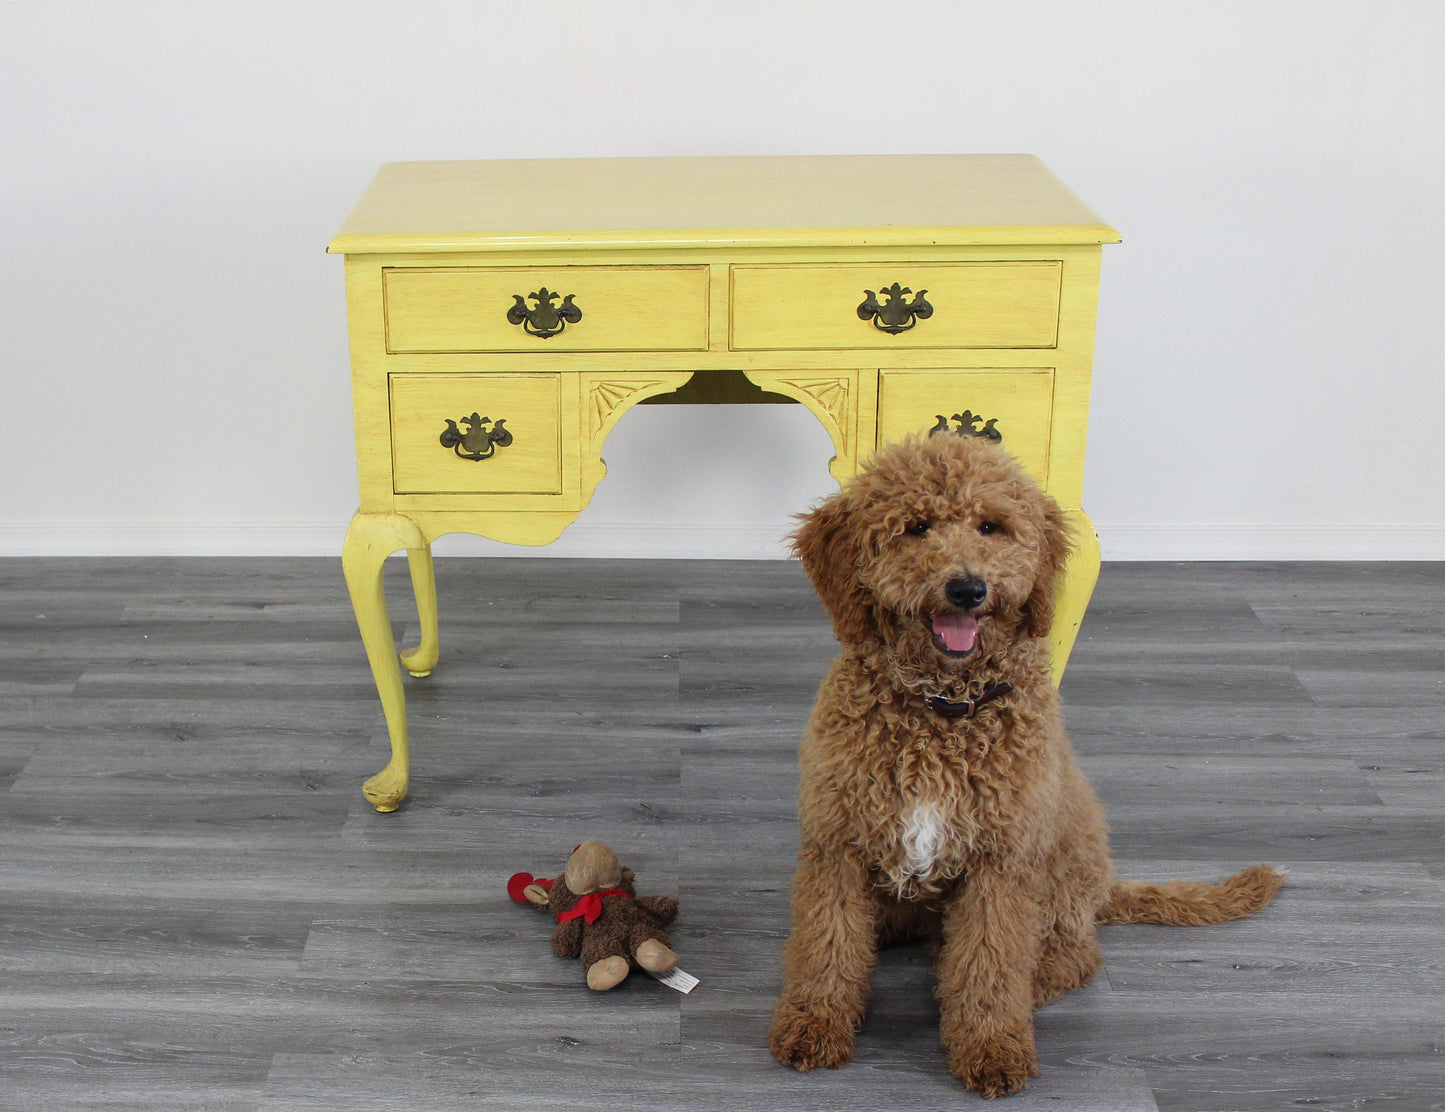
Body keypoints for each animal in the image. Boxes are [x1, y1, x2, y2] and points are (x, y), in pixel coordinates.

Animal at [774, 430, 1283, 1091]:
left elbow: (991, 961)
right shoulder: (837, 843)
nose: (968, 589)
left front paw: (991, 1045)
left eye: (991, 526)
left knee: (1074, 957)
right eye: (915, 527)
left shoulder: (1003, 861)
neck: (943, 711)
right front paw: (814, 1025)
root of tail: (1105, 888)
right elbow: (826, 944)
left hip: (1062, 871)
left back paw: (999, 982)